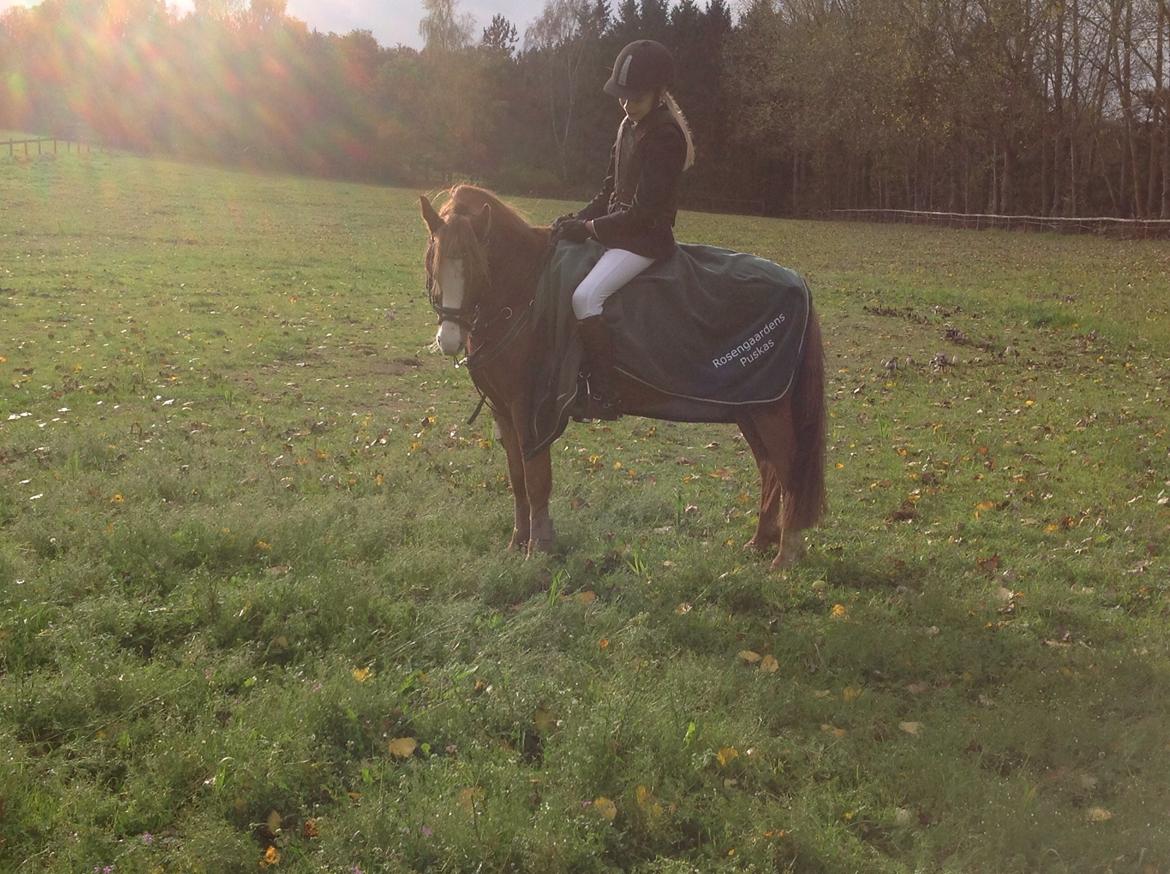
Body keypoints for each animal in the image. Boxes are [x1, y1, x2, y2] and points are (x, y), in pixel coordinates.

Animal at [418, 183, 823, 568]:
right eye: (432, 262)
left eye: (477, 266)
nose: (449, 340)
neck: (526, 289)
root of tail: (796, 280)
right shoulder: (503, 409)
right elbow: (517, 479)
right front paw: (518, 542)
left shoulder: (530, 407)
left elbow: (536, 479)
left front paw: (540, 547)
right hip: (750, 406)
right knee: (769, 470)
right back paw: (760, 542)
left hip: (769, 410)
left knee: (788, 470)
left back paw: (786, 554)